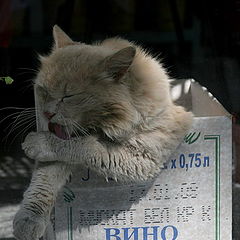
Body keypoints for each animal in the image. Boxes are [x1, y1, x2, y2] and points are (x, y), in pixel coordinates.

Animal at [13, 25, 193, 239]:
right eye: (43, 90)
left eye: (68, 96)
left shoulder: (143, 158)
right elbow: (44, 181)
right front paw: (29, 218)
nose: (47, 114)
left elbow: (87, 147)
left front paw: (38, 142)